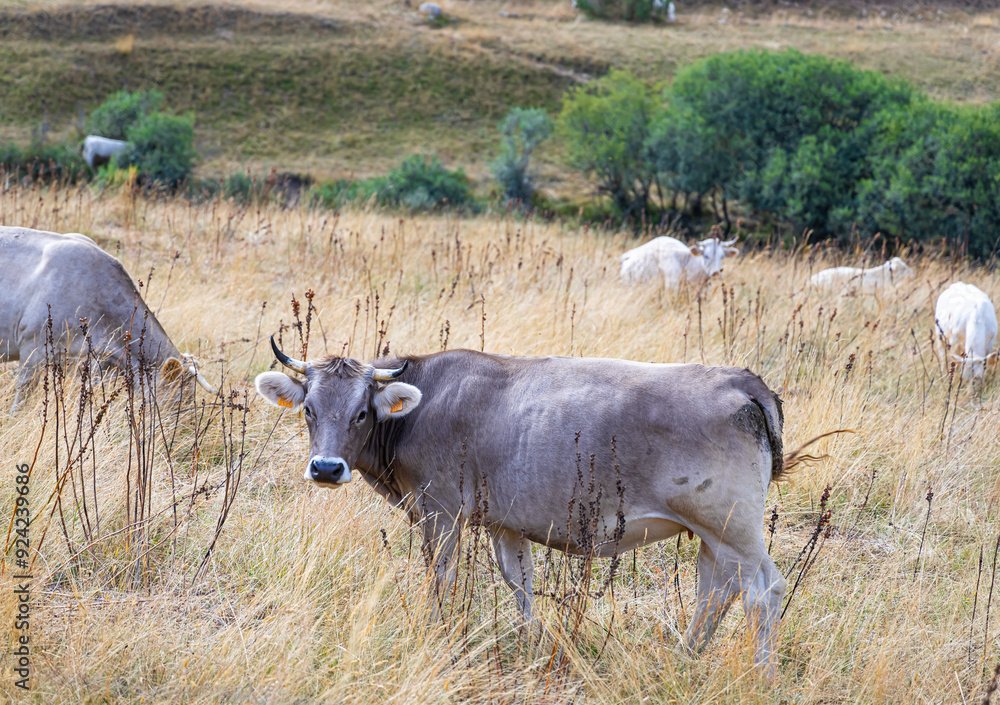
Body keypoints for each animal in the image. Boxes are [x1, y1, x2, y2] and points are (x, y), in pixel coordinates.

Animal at [255, 338, 792, 674]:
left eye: (362, 413)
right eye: (309, 410)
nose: (327, 468)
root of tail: (741, 379)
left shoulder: (440, 511)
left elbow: (441, 579)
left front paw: (439, 636)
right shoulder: (505, 522)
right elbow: (521, 582)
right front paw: (529, 644)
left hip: (733, 527)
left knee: (763, 592)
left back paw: (762, 677)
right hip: (713, 533)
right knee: (715, 591)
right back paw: (685, 655)